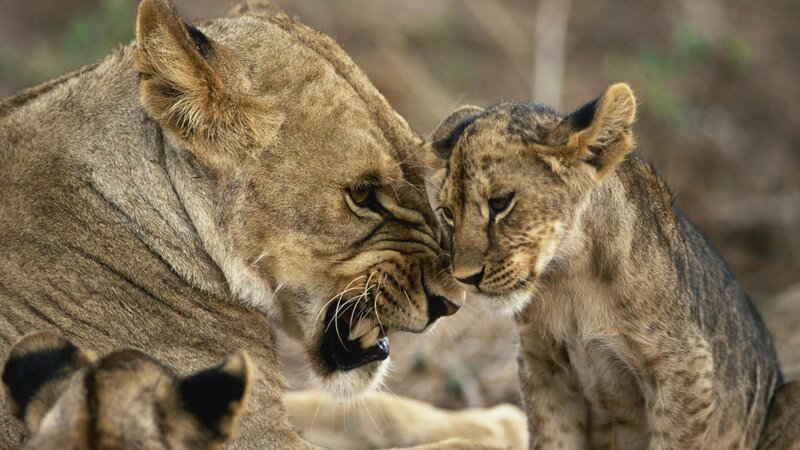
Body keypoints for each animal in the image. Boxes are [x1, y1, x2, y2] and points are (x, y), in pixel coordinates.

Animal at [427, 83, 800, 449]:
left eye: (500, 203)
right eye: (448, 213)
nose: (465, 278)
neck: (569, 277)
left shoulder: (685, 368)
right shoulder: (543, 366)